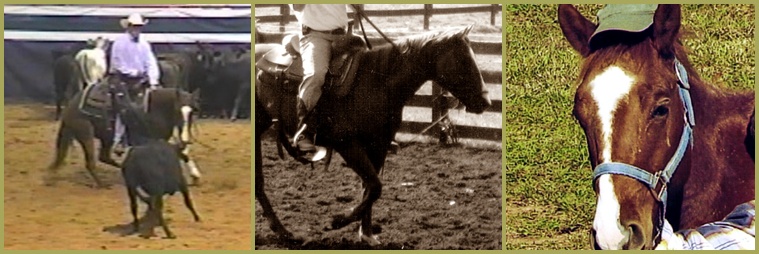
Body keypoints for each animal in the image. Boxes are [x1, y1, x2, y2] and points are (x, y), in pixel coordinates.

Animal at [255, 25, 492, 244]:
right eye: (464, 61)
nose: (485, 102)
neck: (376, 82)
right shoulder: (347, 144)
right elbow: (375, 187)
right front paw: (338, 221)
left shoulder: (378, 145)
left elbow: (369, 188)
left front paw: (366, 234)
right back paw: (282, 230)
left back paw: (281, 230)